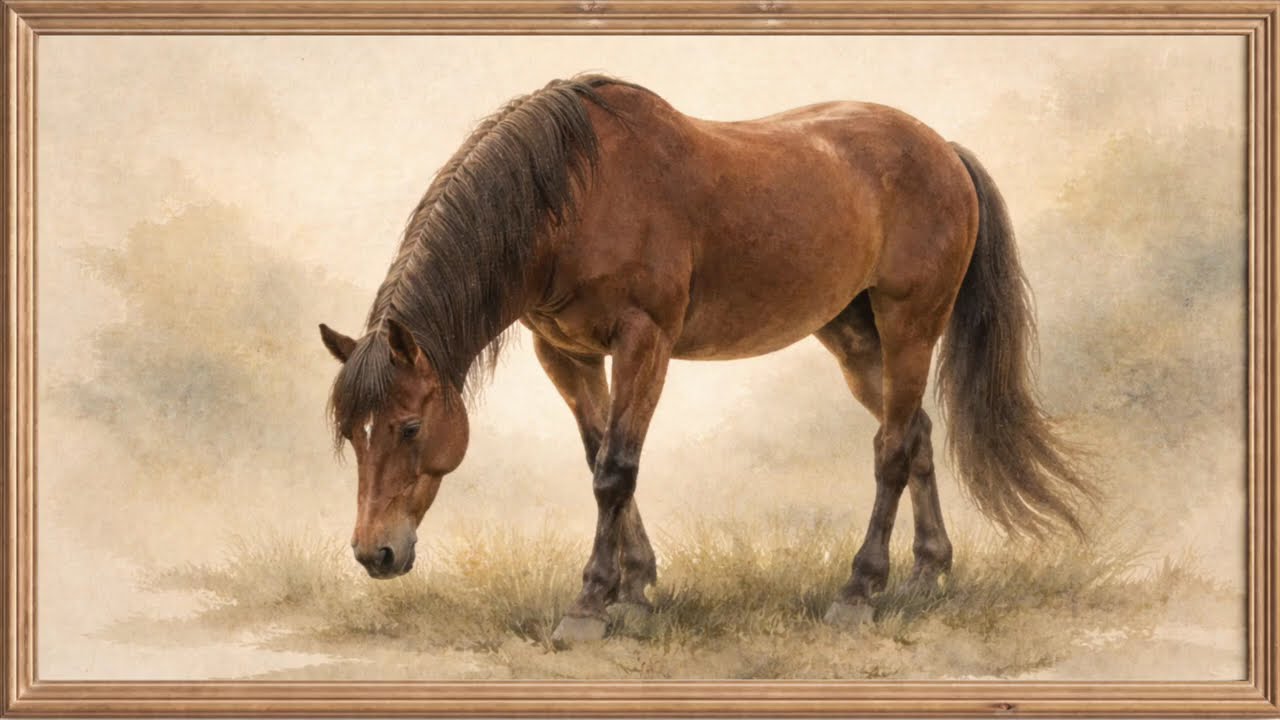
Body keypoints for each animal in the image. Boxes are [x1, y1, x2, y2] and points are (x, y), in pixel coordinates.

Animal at [318, 74, 1095, 644]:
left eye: (409, 427)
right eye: (353, 435)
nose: (374, 554)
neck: (572, 197)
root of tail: (943, 150)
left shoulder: (644, 341)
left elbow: (616, 470)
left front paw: (591, 605)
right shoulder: (566, 354)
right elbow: (600, 459)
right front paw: (636, 588)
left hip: (910, 324)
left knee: (894, 450)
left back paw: (859, 590)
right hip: (852, 335)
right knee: (918, 434)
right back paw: (926, 575)